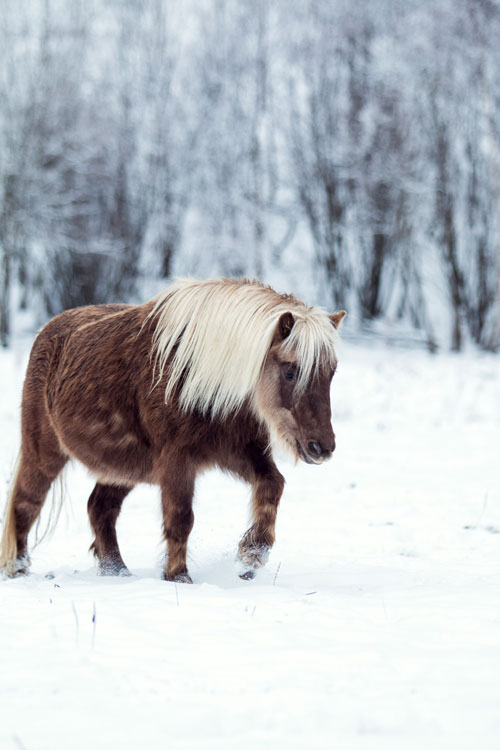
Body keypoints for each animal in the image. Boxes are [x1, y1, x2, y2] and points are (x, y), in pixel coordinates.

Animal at [0, 277, 345, 582]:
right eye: (290, 371)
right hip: (44, 452)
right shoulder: (177, 462)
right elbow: (180, 518)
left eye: (331, 372)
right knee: (25, 504)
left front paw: (251, 556)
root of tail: (48, 332)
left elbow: (273, 485)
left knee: (100, 509)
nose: (322, 447)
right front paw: (178, 576)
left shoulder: (239, 452)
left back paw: (117, 572)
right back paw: (19, 570)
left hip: (123, 469)